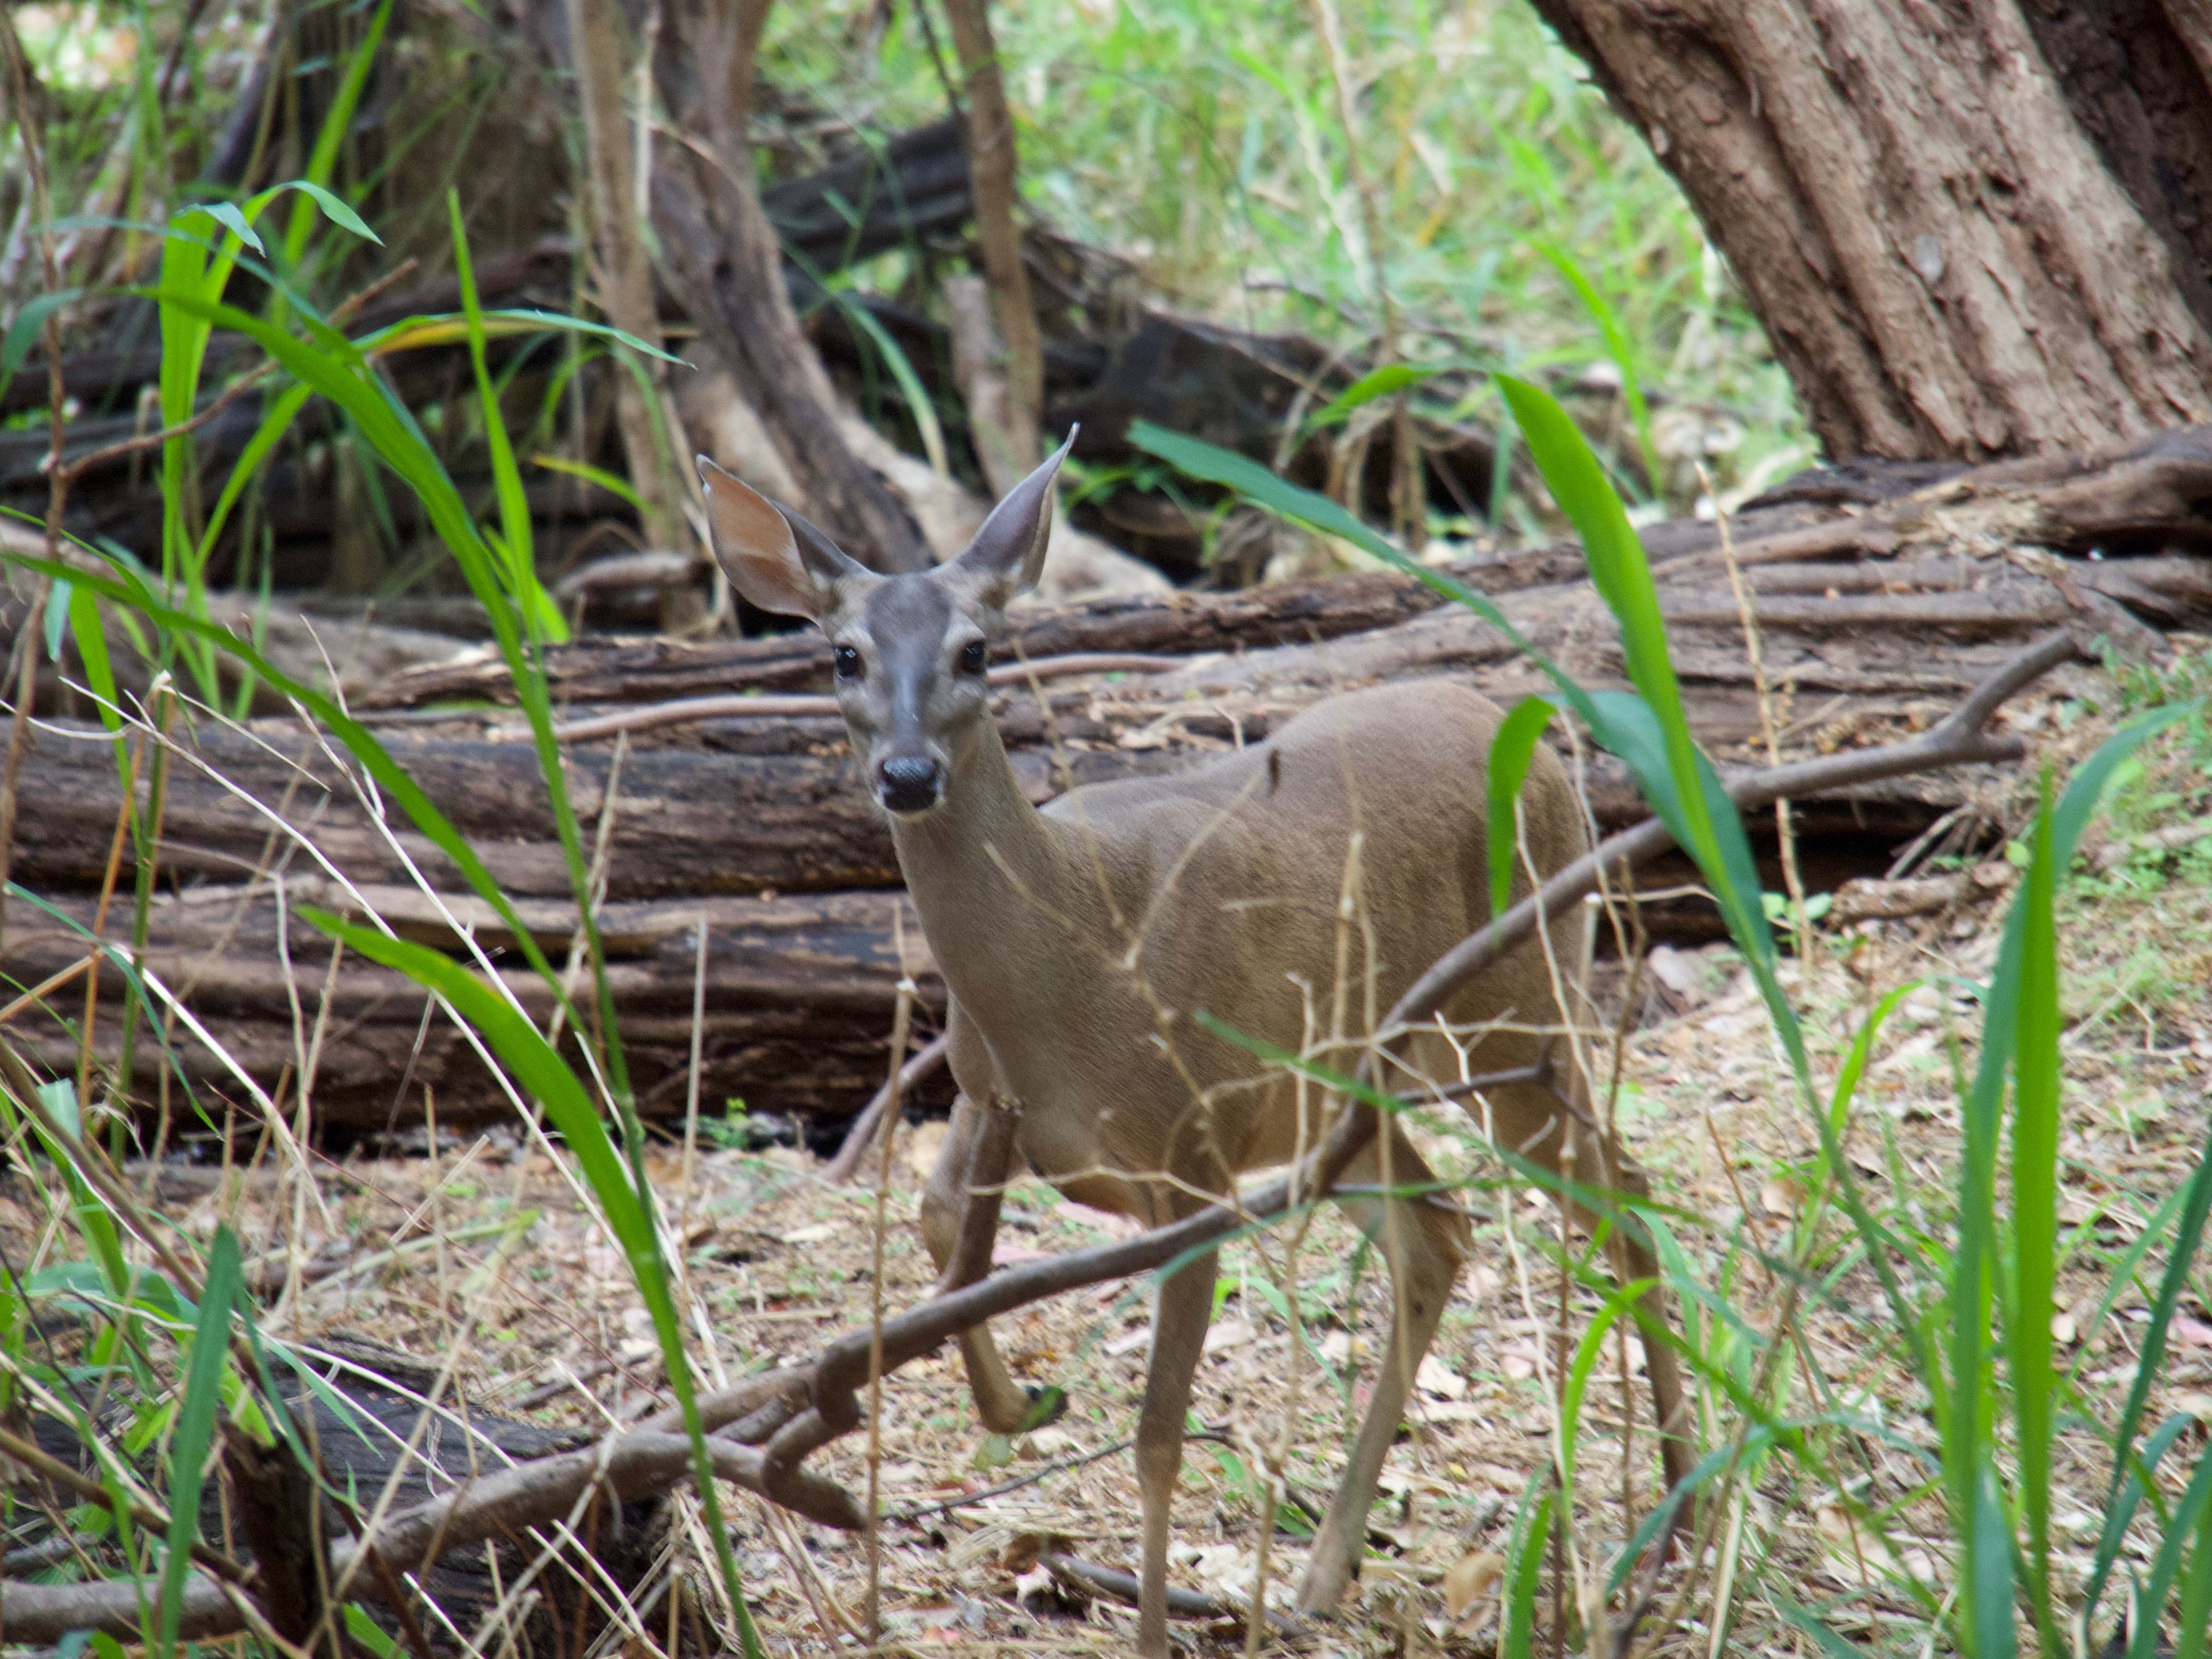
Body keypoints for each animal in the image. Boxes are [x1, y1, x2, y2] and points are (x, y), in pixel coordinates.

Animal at [699, 437, 1694, 1655]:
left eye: (977, 649)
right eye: (843, 653)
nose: (908, 774)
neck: (1068, 966)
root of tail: (1539, 747)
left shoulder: (1192, 1149)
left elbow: (1158, 1435)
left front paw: (1147, 1617)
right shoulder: (990, 1095)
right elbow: (940, 1229)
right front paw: (1022, 1402)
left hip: (1522, 1000)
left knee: (1621, 1188)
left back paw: (1679, 1509)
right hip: (1345, 1084)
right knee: (1440, 1231)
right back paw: (1325, 1570)